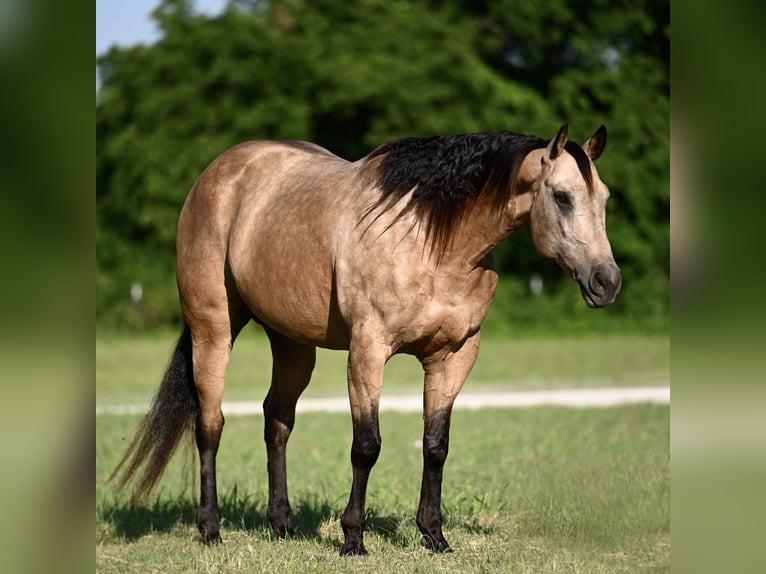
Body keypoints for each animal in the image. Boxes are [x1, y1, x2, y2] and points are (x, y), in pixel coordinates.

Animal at [112, 123, 621, 555]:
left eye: (604, 199)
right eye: (562, 196)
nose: (607, 282)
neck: (432, 240)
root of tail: (215, 174)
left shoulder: (454, 357)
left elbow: (435, 445)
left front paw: (434, 536)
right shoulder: (368, 351)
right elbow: (367, 446)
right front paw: (353, 539)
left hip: (293, 344)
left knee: (277, 421)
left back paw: (282, 526)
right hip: (214, 329)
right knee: (210, 425)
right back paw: (211, 530)